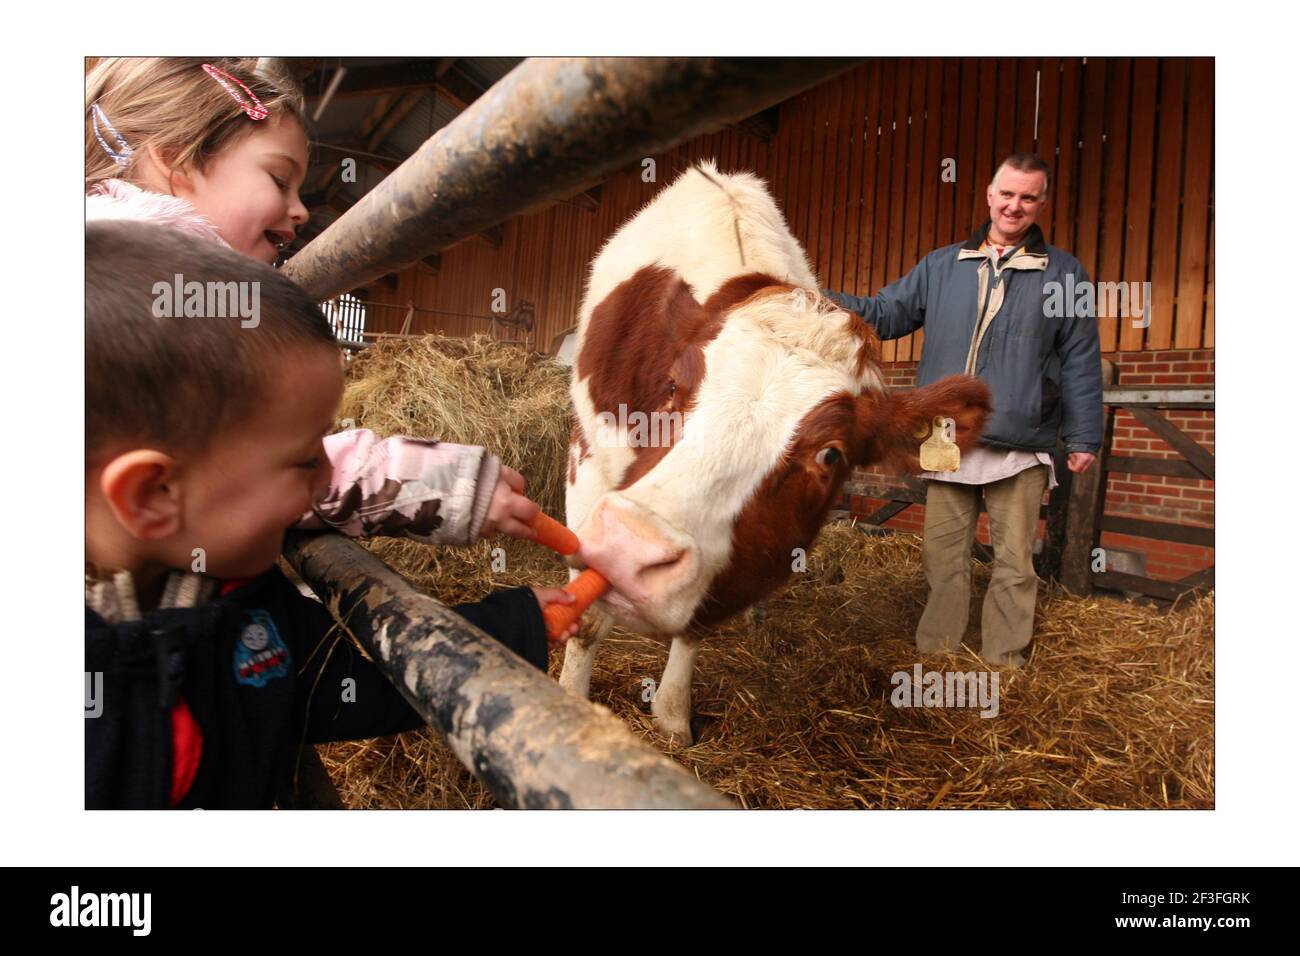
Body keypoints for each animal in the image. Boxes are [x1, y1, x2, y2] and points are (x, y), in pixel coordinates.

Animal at [556, 160, 982, 743]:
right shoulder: (588, 461)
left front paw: (672, 714)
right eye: (672, 388)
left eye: (831, 456)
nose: (631, 547)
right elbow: (587, 617)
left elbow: (696, 627)